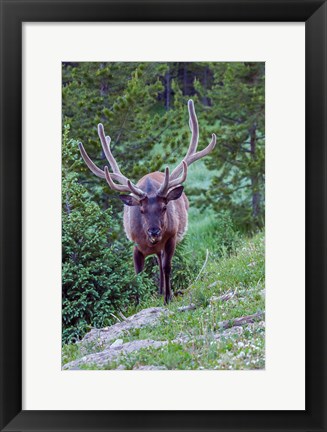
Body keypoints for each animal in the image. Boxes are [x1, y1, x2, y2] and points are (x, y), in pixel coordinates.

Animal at [79, 100, 217, 304]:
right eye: (141, 210)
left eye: (164, 207)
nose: (154, 231)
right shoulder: (135, 246)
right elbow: (138, 274)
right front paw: (138, 302)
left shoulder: (171, 238)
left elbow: (167, 267)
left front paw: (168, 298)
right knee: (157, 261)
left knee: (161, 263)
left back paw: (162, 291)